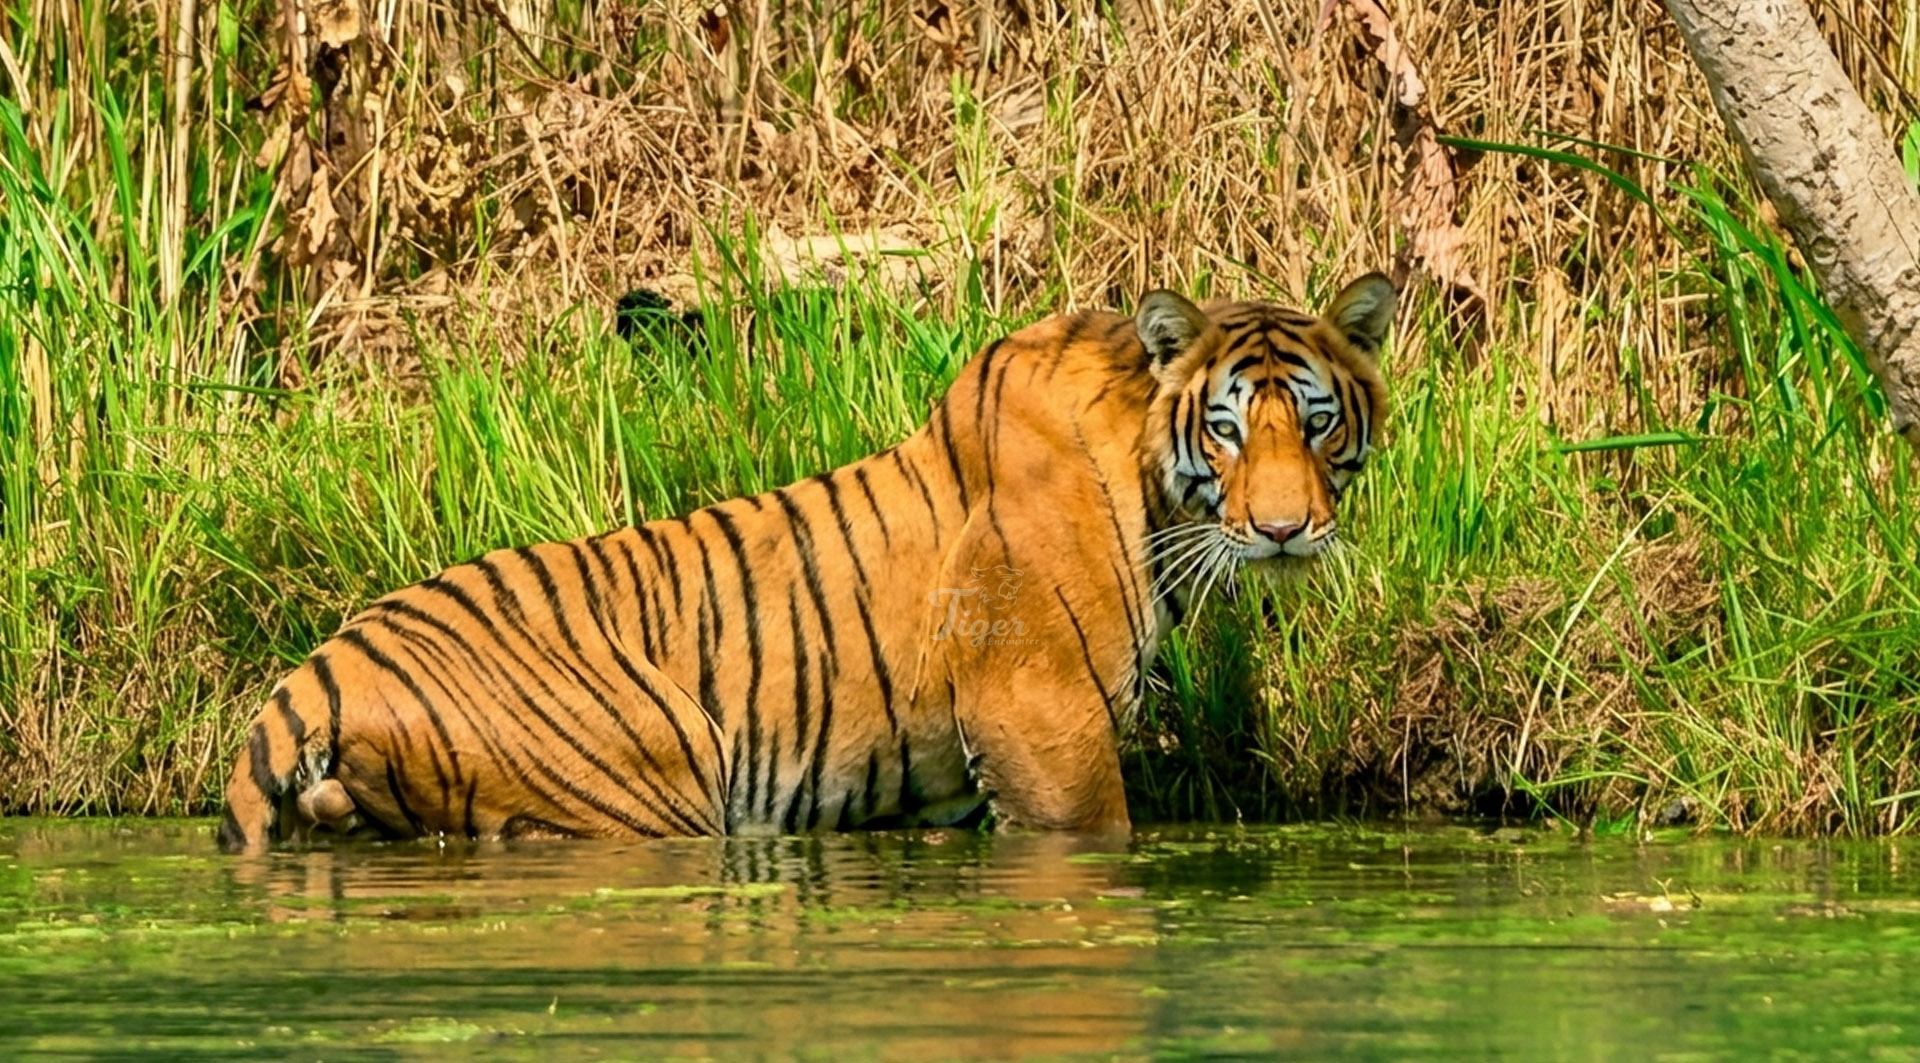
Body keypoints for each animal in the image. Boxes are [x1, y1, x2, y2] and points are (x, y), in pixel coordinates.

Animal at [217, 273, 1395, 851]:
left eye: (1319, 422)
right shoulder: (1042, 720)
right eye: (1230, 430)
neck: (1153, 477)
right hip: (654, 774)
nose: (1286, 529)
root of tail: (310, 677)